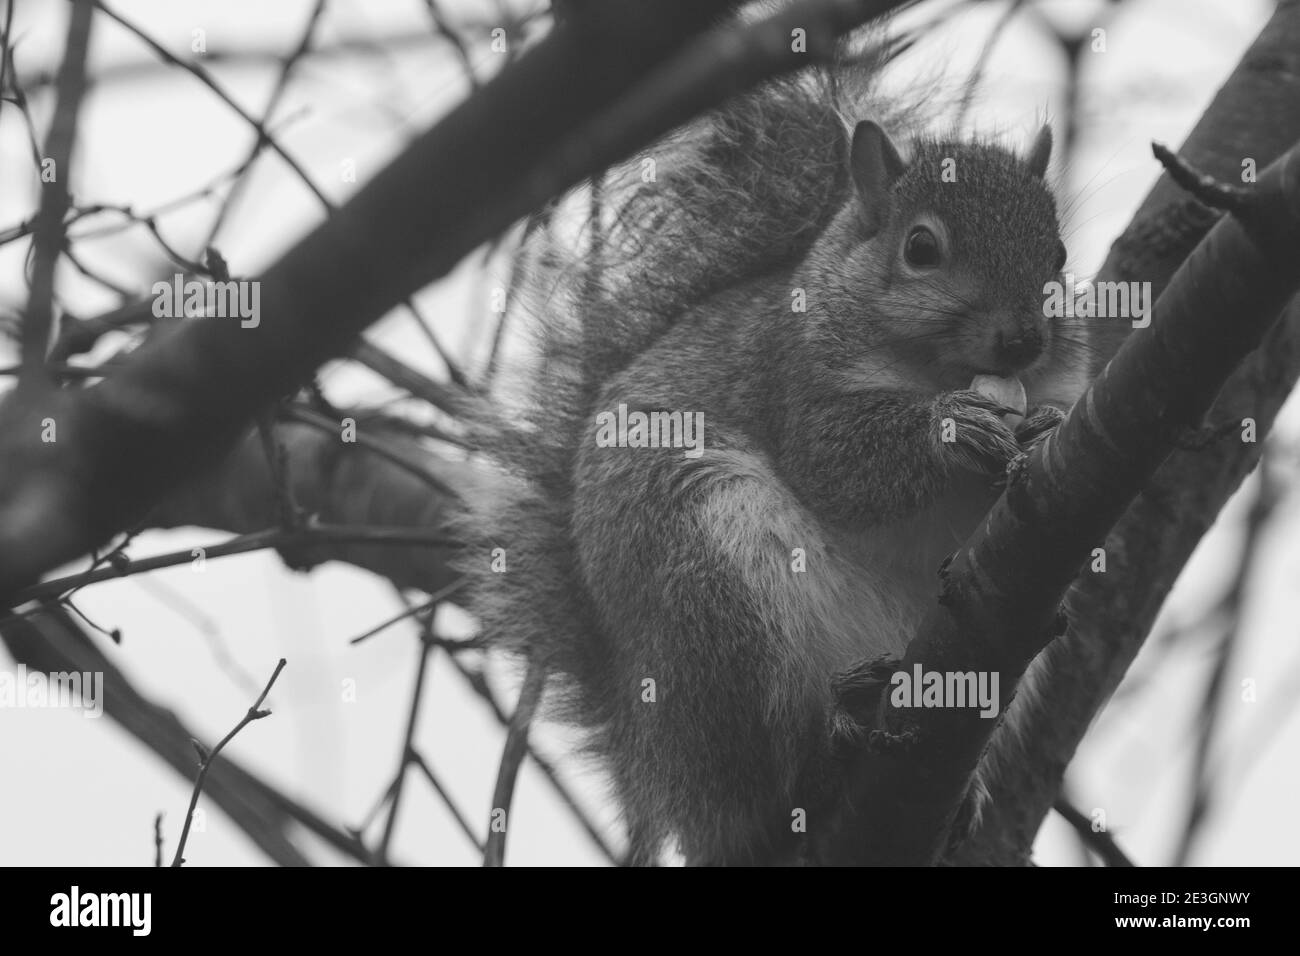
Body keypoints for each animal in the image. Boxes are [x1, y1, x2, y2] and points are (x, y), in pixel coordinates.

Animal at [462, 44, 1092, 868]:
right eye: (921, 249)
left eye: (1060, 254)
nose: (1022, 339)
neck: (933, 369)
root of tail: (658, 765)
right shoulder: (794, 380)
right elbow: (838, 465)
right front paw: (950, 427)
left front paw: (1044, 429)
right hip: (714, 592)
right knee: (764, 778)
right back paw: (825, 749)